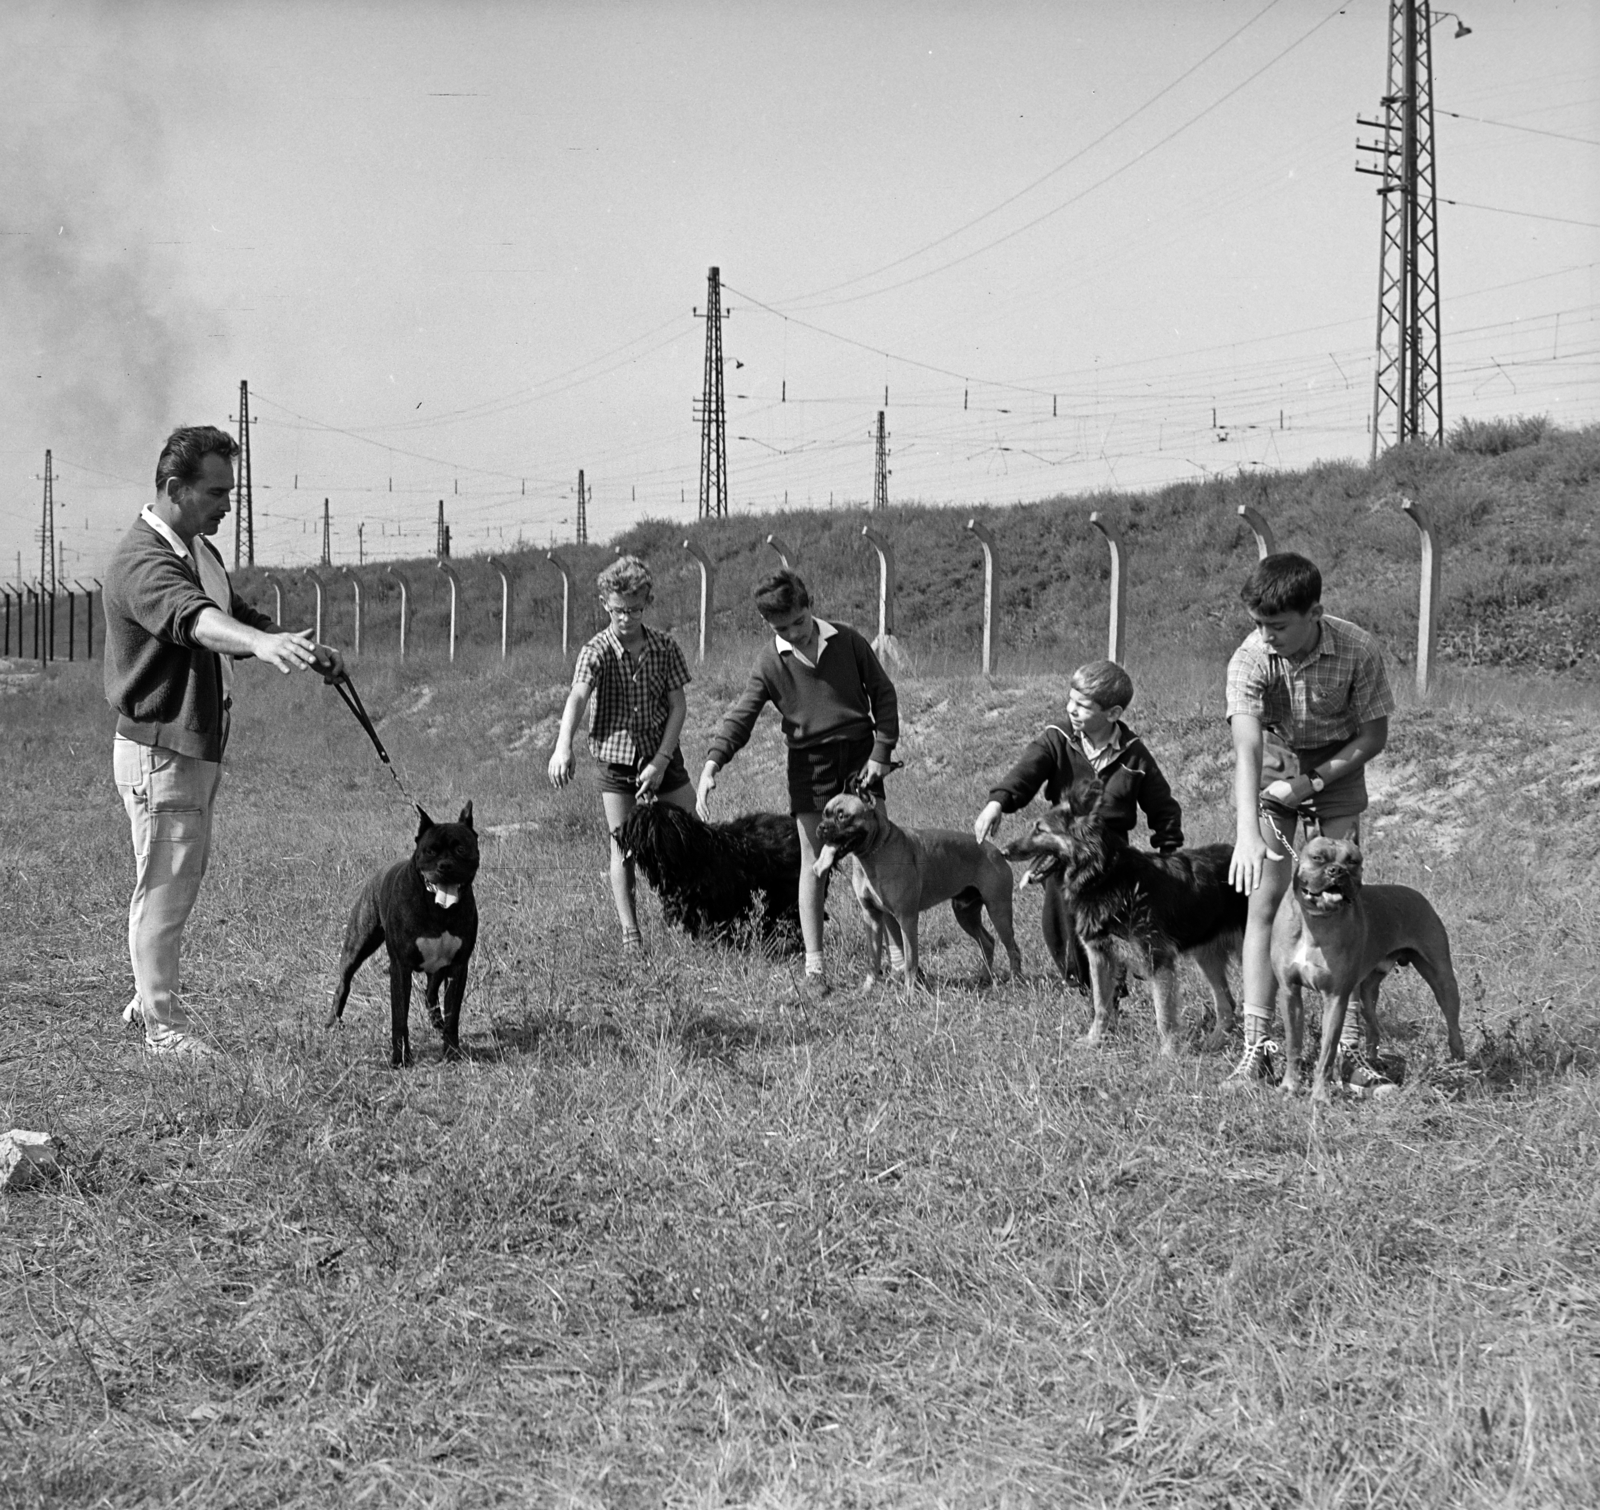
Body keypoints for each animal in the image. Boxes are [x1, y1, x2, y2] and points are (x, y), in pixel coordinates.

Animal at [324, 802, 473, 1062]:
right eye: (430, 851)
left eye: (461, 849)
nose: (445, 866)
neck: (438, 909)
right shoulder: (401, 968)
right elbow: (400, 1017)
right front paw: (401, 1058)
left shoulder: (457, 967)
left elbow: (453, 1014)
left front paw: (452, 1052)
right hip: (358, 944)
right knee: (344, 981)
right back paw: (333, 1021)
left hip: (438, 967)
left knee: (430, 992)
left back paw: (437, 1023)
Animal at [812, 774, 1024, 998]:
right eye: (824, 814)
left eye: (842, 816)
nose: (821, 827)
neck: (873, 854)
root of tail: (996, 851)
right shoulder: (871, 917)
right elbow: (873, 958)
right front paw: (868, 989)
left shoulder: (907, 919)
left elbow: (910, 960)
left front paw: (909, 994)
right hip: (966, 915)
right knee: (988, 942)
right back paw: (984, 977)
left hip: (998, 911)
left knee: (1012, 948)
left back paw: (1015, 982)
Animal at [998, 774, 1248, 1055]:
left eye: (1040, 830)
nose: (1003, 852)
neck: (1103, 876)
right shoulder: (1100, 956)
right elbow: (1101, 1005)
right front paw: (1094, 1041)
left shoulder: (1156, 959)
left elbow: (1164, 1015)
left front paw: (1168, 1056)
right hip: (1206, 956)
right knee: (1227, 1004)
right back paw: (1215, 1042)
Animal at [1267, 831, 1465, 1100]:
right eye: (1318, 857)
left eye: (1352, 861)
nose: (1336, 871)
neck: (1315, 921)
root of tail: (1417, 895)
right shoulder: (1289, 992)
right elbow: (1293, 1045)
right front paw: (1289, 1085)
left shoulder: (1335, 998)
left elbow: (1327, 1052)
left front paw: (1320, 1096)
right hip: (1367, 993)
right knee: (1373, 1026)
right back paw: (1373, 1062)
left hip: (1442, 980)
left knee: (1453, 1026)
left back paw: (1458, 1065)